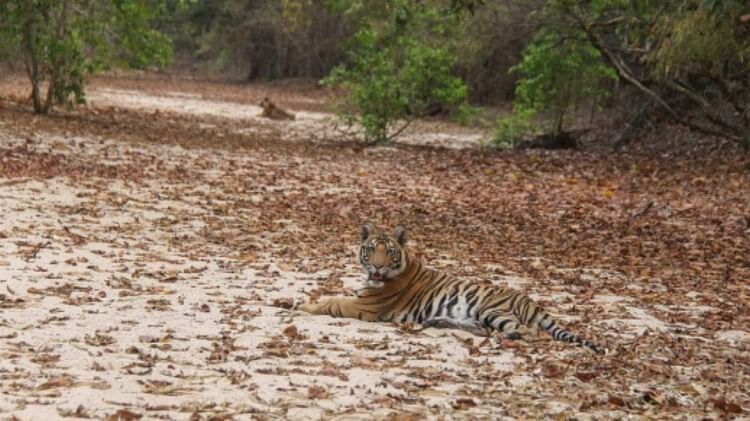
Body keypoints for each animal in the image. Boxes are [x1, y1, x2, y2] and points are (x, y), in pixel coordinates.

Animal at [296, 223, 608, 354]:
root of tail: (534, 302)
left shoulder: (364, 306)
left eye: (389, 252)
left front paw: (302, 305)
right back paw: (438, 322)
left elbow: (332, 301)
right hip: (481, 315)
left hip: (493, 309)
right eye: (371, 249)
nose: (377, 267)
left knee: (524, 332)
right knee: (484, 329)